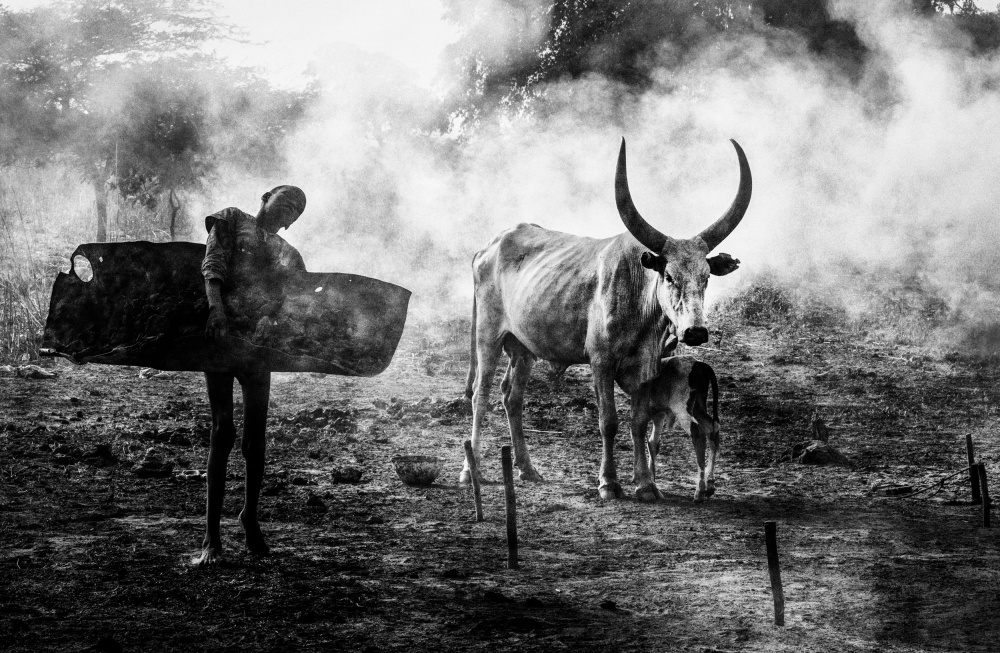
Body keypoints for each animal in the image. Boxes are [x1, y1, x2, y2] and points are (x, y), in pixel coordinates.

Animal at [648, 356, 720, 500]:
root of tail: (699, 364)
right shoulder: (658, 413)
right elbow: (653, 442)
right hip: (697, 406)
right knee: (712, 428)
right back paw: (709, 484)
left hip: (683, 409)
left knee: (698, 434)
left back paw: (699, 492)